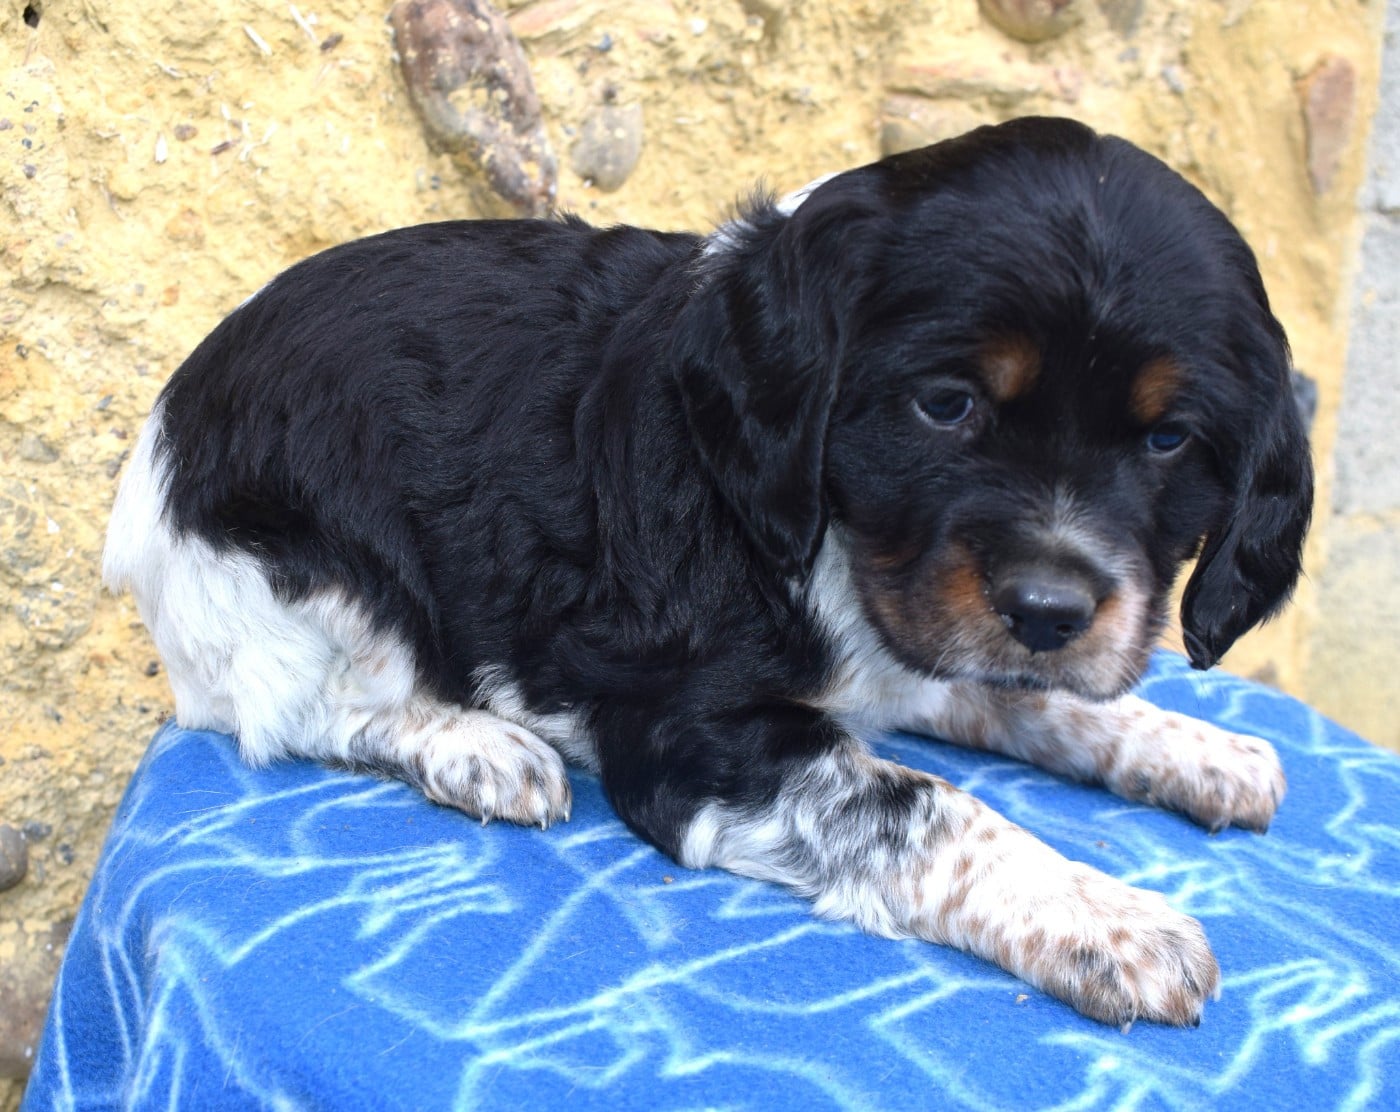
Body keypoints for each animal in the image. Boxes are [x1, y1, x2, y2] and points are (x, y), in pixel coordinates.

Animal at [104, 117, 1312, 1029]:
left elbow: (1028, 698)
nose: (1050, 610)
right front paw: (1107, 917)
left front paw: (1195, 748)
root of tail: (155, 457)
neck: (820, 529)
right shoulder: (689, 732)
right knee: (296, 711)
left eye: (1168, 442)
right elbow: (926, 806)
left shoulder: (917, 627)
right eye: (945, 404)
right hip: (306, 579)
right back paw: (475, 746)